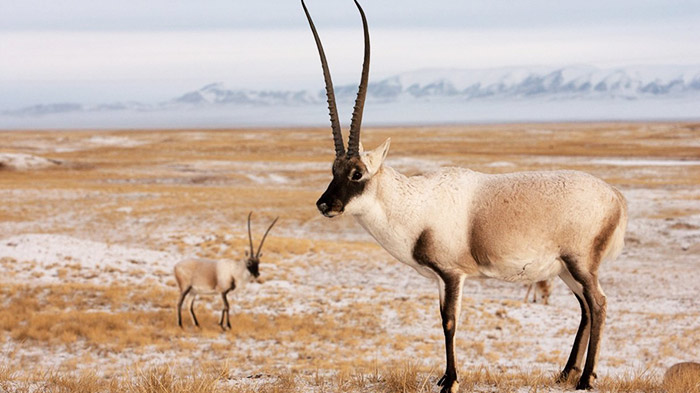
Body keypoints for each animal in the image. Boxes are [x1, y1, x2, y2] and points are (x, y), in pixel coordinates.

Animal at [300, 1, 628, 390]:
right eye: (332, 170)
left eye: (357, 173)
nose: (325, 204)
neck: (414, 203)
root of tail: (615, 196)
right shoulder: (440, 279)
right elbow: (441, 320)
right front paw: (445, 376)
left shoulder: (453, 274)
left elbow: (449, 322)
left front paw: (451, 380)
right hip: (565, 269)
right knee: (585, 308)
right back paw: (567, 373)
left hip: (579, 263)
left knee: (598, 304)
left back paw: (585, 379)